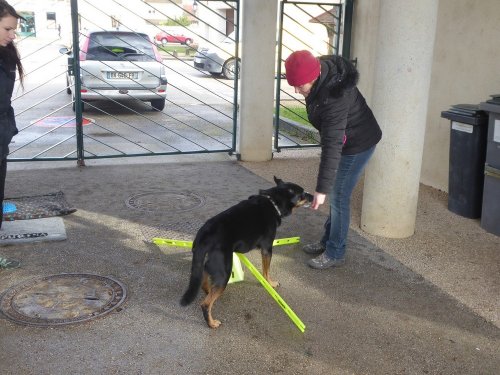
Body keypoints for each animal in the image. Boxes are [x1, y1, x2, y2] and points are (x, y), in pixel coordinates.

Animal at [180, 176, 312, 328]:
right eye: (302, 193)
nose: (313, 196)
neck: (273, 202)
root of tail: (204, 236)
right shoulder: (267, 249)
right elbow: (266, 271)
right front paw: (270, 283)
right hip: (224, 271)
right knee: (205, 304)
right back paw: (212, 323)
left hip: (209, 265)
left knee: (205, 284)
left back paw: (209, 293)